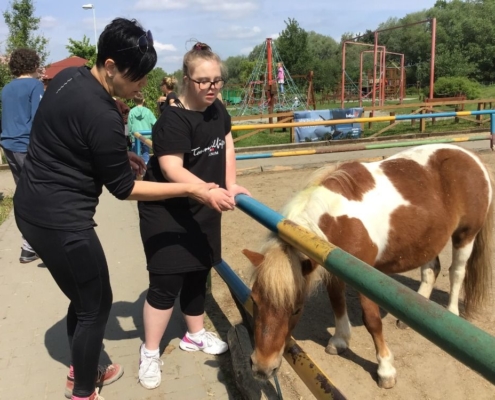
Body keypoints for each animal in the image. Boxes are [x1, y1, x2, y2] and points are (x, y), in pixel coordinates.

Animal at [242, 144, 494, 388]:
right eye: (254, 300)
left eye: (296, 309)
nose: (262, 368)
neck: (338, 216)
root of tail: (471, 157)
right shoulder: (333, 268)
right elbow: (337, 302)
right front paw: (340, 340)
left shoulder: (363, 274)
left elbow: (372, 320)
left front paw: (385, 369)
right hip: (427, 238)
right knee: (431, 270)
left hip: (465, 236)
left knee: (456, 272)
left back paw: (451, 313)